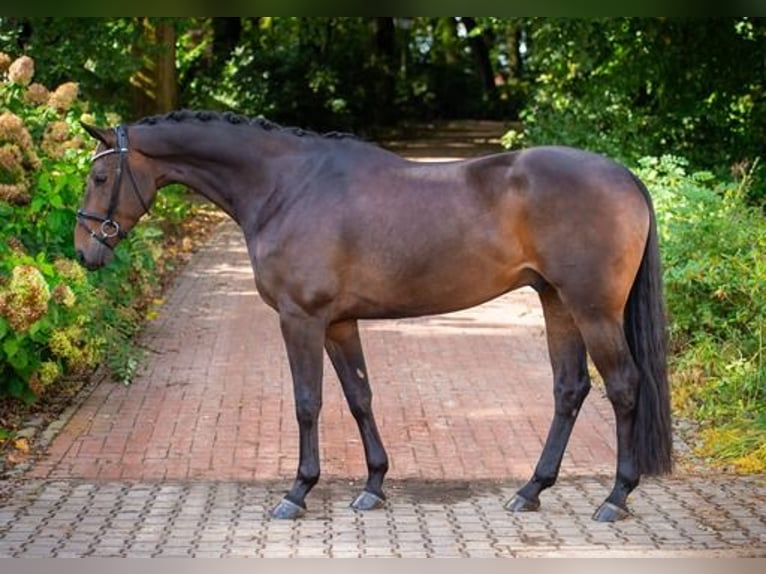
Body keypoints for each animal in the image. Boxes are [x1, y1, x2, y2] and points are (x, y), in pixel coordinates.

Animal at [73, 109, 672, 528]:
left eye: (100, 178)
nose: (84, 251)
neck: (285, 187)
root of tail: (625, 176)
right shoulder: (338, 323)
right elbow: (359, 396)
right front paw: (373, 486)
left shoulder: (301, 319)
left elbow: (308, 403)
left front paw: (298, 492)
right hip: (556, 302)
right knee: (569, 389)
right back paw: (531, 491)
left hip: (592, 309)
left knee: (623, 386)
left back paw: (615, 497)